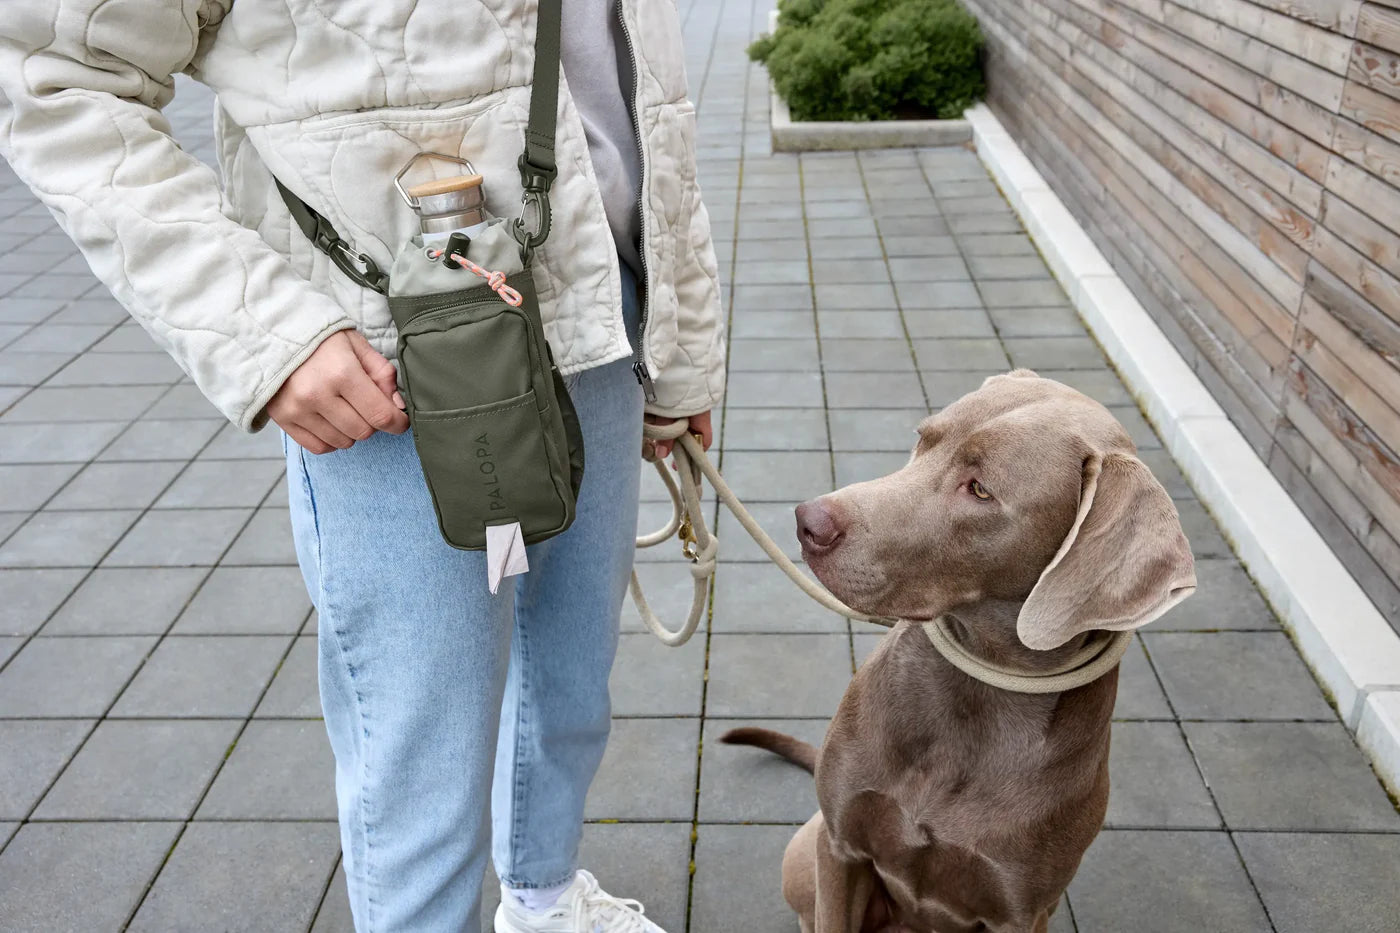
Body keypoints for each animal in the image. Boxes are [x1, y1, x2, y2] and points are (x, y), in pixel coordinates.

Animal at [728, 367, 1198, 924]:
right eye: (923, 439)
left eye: (979, 490)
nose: (808, 521)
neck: (974, 693)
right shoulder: (841, 846)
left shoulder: (1021, 911)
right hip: (806, 847)